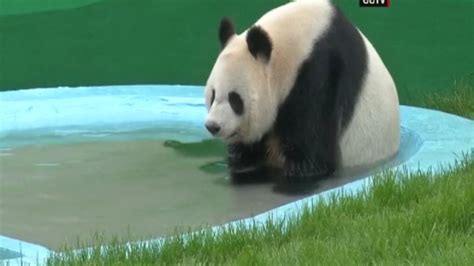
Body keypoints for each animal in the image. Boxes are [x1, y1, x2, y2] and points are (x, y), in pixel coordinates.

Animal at [204, 0, 400, 193]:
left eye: (234, 99)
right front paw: (243, 167)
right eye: (212, 95)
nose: (213, 126)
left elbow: (312, 149)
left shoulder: (319, 73)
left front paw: (295, 177)